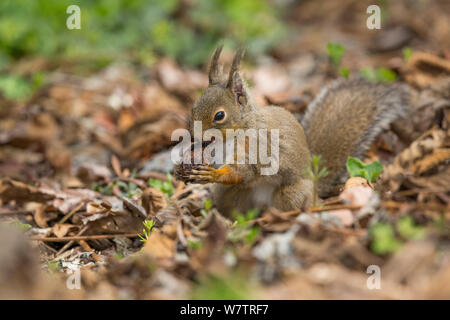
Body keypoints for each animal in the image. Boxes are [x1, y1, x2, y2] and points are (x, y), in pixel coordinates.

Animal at [175, 46, 412, 216]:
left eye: (219, 116)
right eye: (193, 107)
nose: (193, 136)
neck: (238, 131)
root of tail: (314, 180)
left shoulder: (258, 148)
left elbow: (244, 171)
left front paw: (212, 174)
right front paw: (181, 168)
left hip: (291, 194)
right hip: (231, 196)